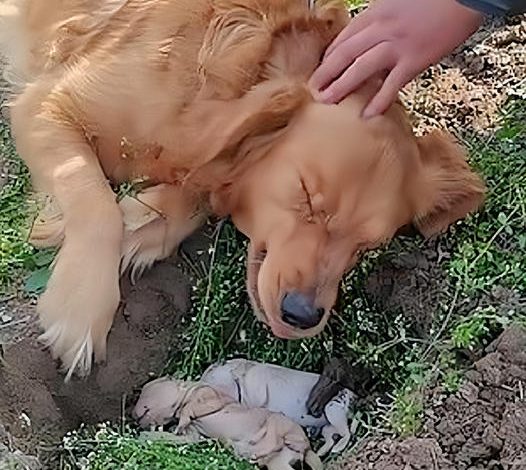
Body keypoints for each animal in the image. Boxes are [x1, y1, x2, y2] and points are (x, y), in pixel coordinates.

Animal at [0, 0, 486, 378]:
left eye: (367, 247)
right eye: (305, 195)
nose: (302, 315)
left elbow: (191, 191)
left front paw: (141, 220)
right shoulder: (45, 103)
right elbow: (96, 202)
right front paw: (79, 309)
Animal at [132, 376, 324, 470]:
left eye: (145, 390)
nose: (132, 414)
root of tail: (306, 448)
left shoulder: (210, 396)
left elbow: (192, 407)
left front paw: (180, 422)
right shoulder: (193, 434)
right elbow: (181, 436)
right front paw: (148, 435)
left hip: (281, 424)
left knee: (276, 434)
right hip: (278, 463)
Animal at [202, 360, 354, 456]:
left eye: (210, 378)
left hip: (333, 409)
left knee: (346, 432)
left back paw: (336, 449)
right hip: (327, 426)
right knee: (332, 436)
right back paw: (321, 452)